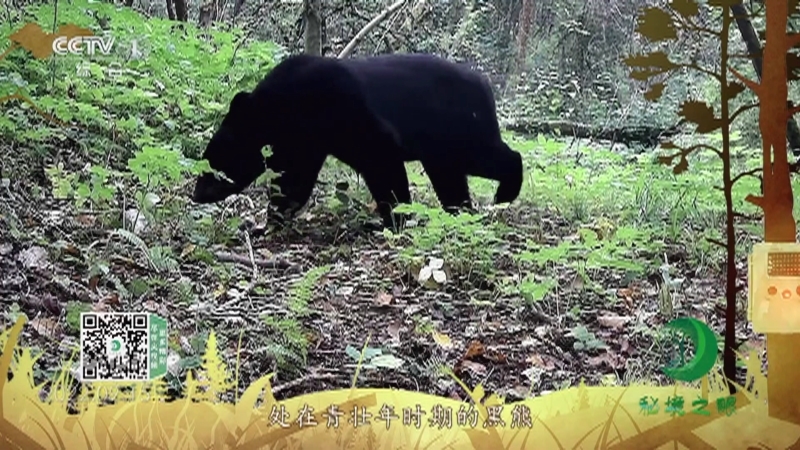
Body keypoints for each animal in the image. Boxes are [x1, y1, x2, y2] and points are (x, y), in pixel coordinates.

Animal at [191, 53, 523, 229]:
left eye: (213, 162)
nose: (196, 194)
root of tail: (485, 84)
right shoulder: (306, 142)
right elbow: (295, 180)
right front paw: (272, 218)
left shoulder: (346, 112)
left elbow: (382, 159)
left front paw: (394, 218)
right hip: (442, 149)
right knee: (451, 178)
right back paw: (459, 212)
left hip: (459, 130)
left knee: (492, 156)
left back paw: (504, 193)